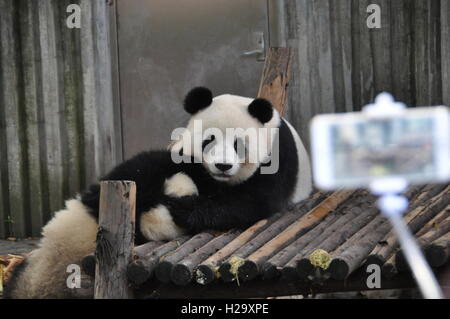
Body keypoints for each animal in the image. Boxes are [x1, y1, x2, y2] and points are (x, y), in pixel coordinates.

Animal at [5, 86, 312, 298]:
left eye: (239, 144)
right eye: (209, 140)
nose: (222, 166)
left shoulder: (278, 159)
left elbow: (251, 202)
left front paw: (183, 209)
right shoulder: (176, 155)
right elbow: (145, 166)